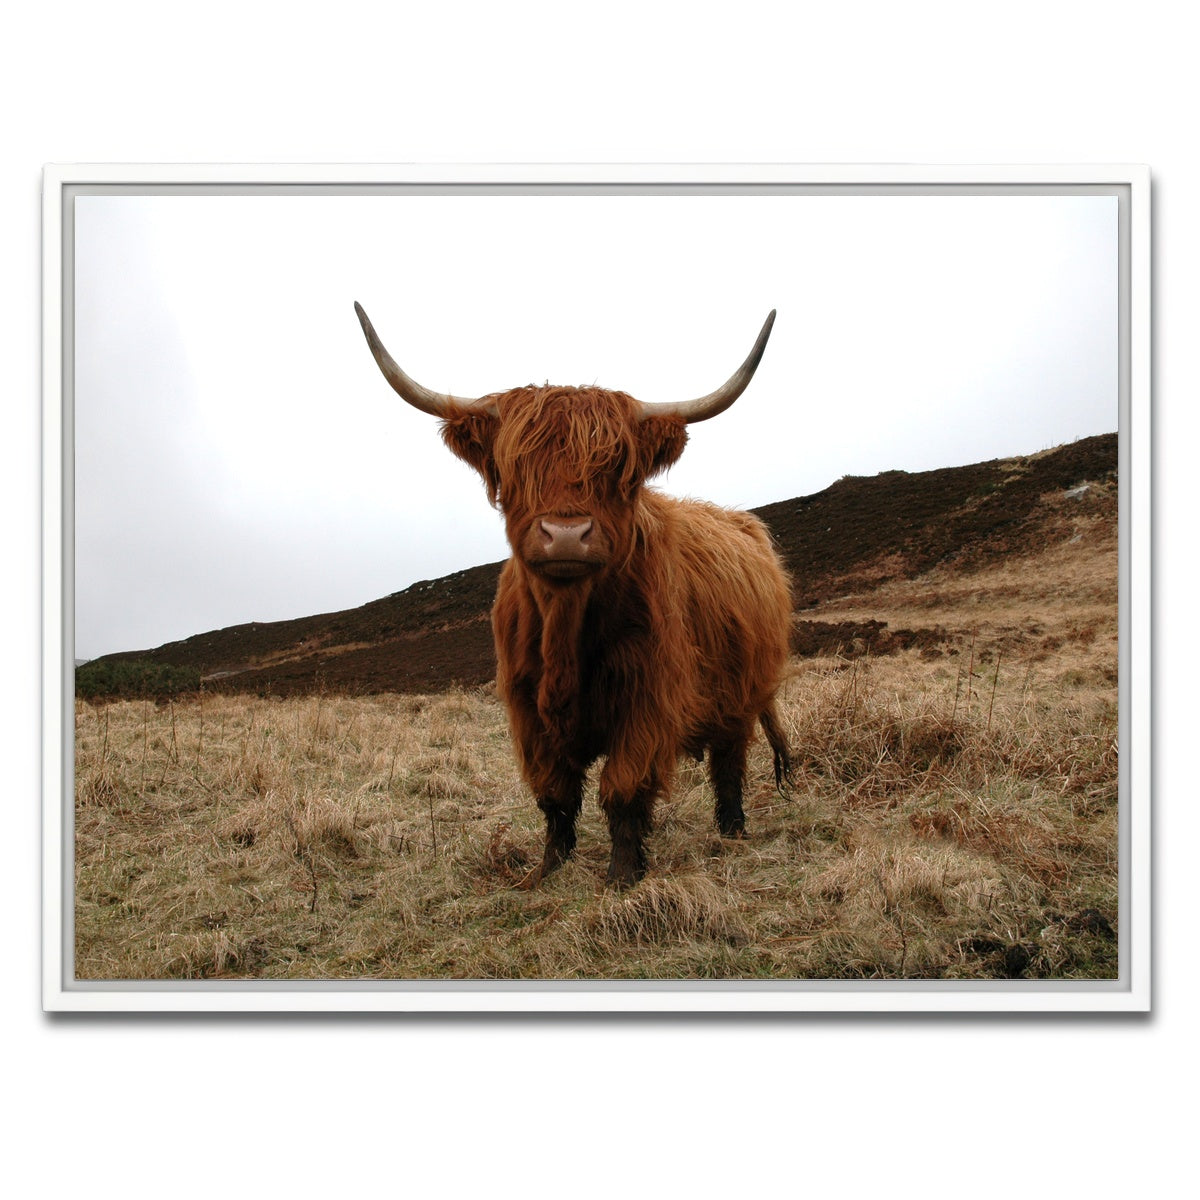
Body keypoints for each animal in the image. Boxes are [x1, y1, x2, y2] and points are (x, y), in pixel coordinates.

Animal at [355, 302, 794, 887]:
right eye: (516, 466)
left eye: (617, 469)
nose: (565, 534)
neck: (565, 631)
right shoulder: (526, 710)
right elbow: (555, 794)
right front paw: (548, 868)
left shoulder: (648, 700)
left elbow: (624, 789)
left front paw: (623, 874)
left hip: (743, 696)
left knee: (730, 763)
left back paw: (733, 831)